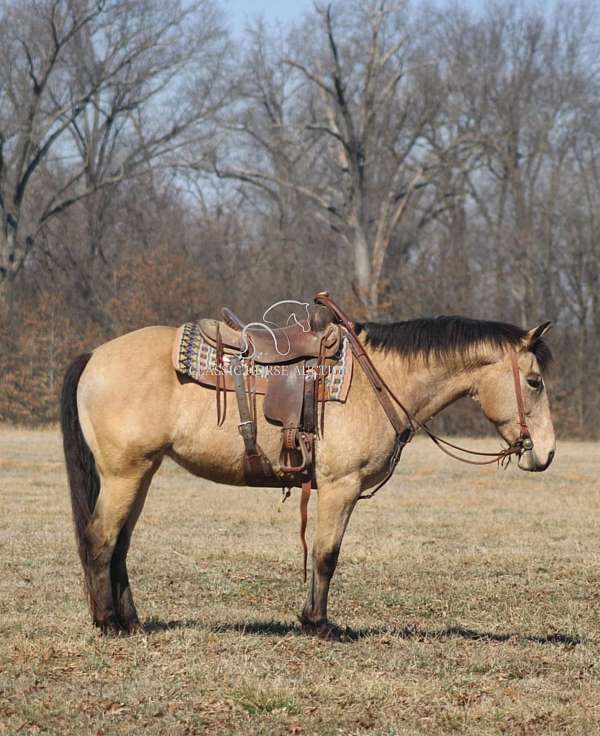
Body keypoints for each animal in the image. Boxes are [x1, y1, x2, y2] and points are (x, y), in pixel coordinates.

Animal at [58, 294, 556, 640]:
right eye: (534, 381)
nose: (547, 453)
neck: (379, 381)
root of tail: (94, 356)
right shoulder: (340, 486)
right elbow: (325, 554)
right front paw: (318, 623)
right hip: (124, 474)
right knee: (100, 539)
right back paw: (108, 623)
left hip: (141, 474)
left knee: (119, 545)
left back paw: (130, 621)